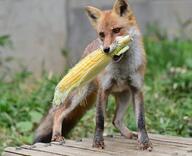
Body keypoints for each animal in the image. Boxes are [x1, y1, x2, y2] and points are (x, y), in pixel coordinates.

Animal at [33, 0, 152, 151]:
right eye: (102, 34)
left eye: (116, 30)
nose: (106, 49)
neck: (122, 69)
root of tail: (89, 46)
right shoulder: (104, 90)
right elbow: (100, 120)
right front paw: (97, 143)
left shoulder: (137, 89)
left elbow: (141, 121)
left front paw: (144, 142)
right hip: (78, 96)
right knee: (58, 113)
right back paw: (57, 136)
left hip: (125, 96)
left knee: (115, 120)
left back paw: (128, 134)